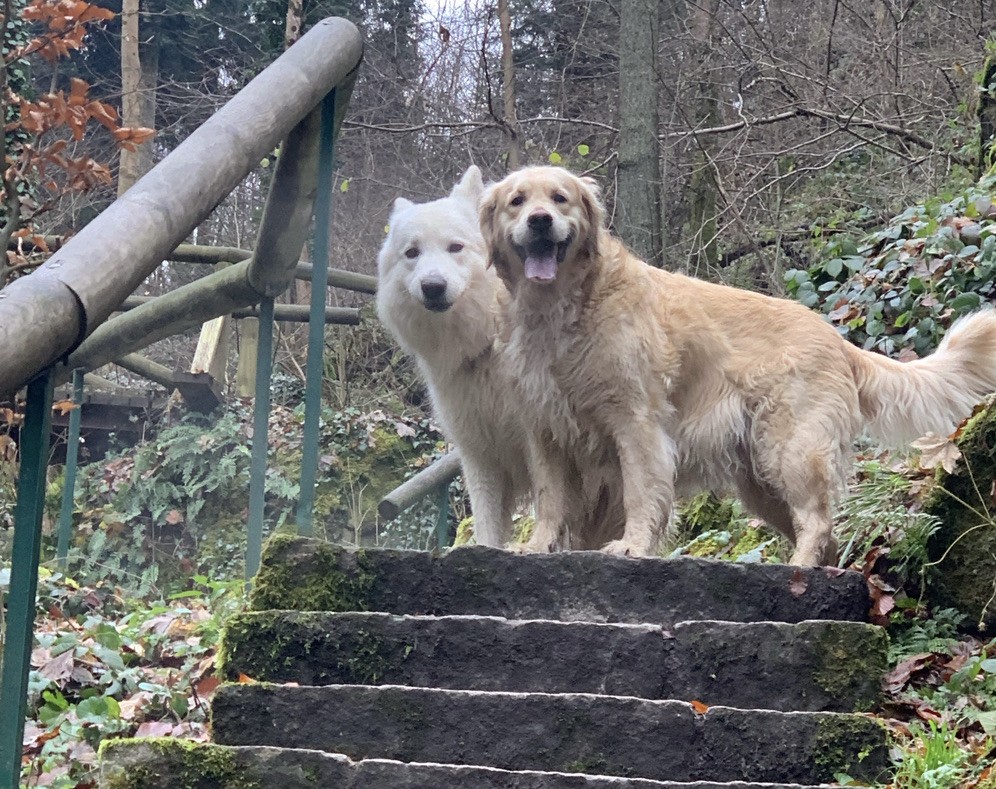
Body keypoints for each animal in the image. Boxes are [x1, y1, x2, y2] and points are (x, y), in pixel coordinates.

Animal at [378, 166, 620, 548]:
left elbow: (545, 506)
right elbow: (487, 524)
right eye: (412, 253)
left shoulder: (536, 440)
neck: (485, 346)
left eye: (455, 247)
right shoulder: (479, 454)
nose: (432, 287)